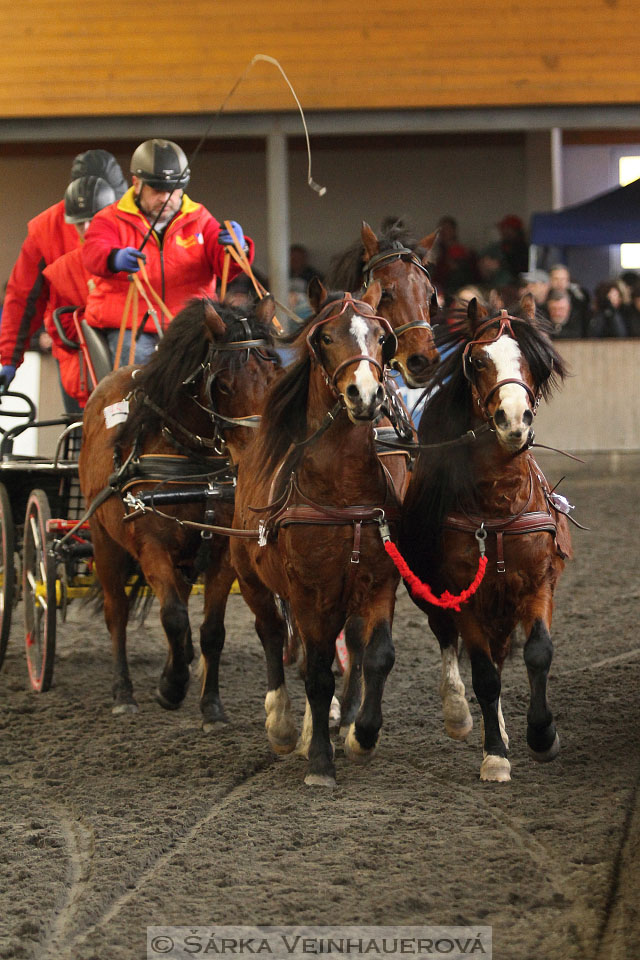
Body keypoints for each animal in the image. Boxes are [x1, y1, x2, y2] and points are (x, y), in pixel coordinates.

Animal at [77, 296, 280, 724]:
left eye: (274, 374)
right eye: (223, 384)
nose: (261, 454)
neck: (193, 457)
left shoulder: (221, 552)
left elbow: (211, 630)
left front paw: (211, 706)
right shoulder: (151, 545)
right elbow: (171, 616)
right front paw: (170, 687)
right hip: (105, 542)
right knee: (116, 612)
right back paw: (124, 692)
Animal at [230, 278, 400, 788]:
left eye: (381, 337)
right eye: (325, 337)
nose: (365, 394)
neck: (341, 490)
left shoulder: (377, 582)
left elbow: (378, 655)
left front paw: (362, 736)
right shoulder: (309, 591)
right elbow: (319, 674)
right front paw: (321, 762)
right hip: (252, 579)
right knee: (272, 636)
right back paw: (284, 726)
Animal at [400, 296, 568, 784]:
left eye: (535, 361)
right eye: (477, 361)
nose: (514, 420)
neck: (498, 505)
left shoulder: (538, 582)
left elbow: (537, 654)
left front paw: (542, 736)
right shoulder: (466, 596)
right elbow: (484, 676)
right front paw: (494, 755)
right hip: (437, 597)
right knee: (449, 643)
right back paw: (460, 714)